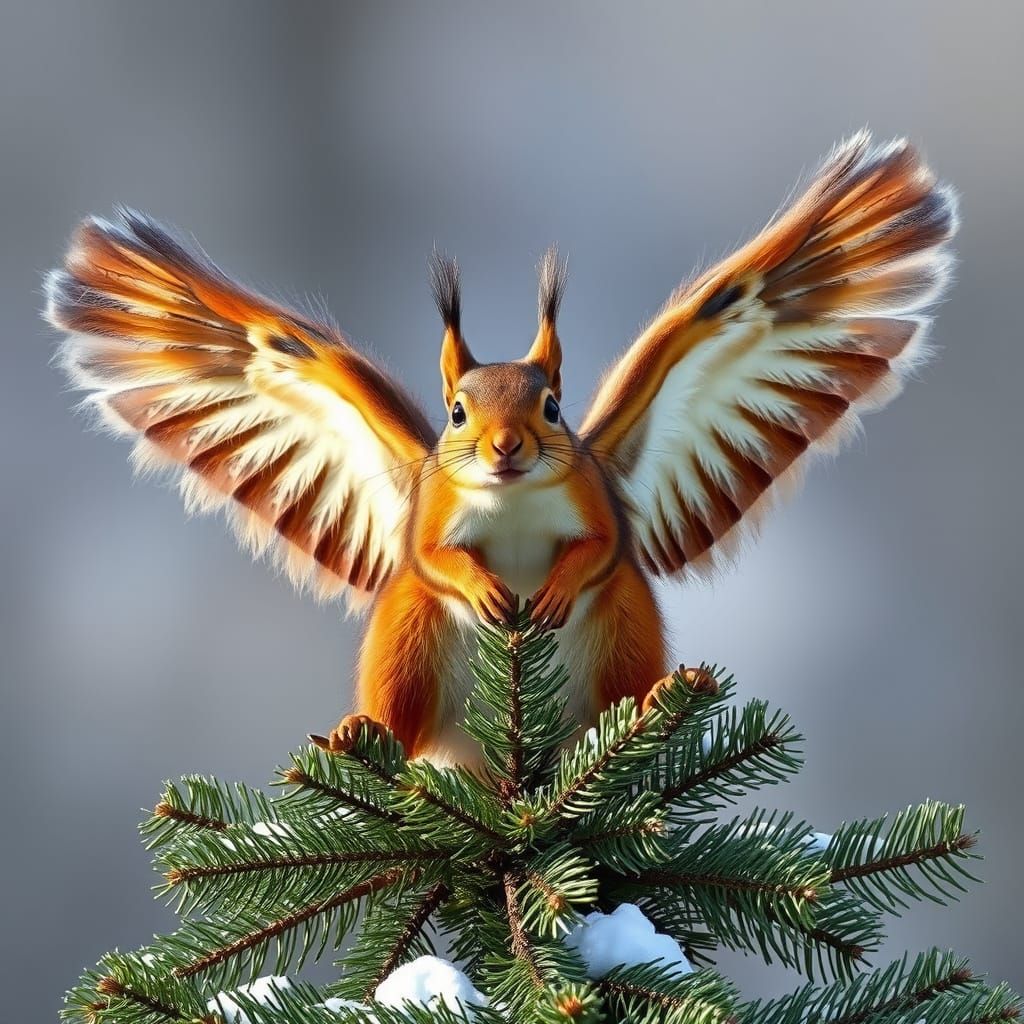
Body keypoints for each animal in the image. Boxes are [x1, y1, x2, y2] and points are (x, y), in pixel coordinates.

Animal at [44, 132, 957, 765]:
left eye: (551, 405)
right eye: (455, 413)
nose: (505, 447)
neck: (512, 499)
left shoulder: (599, 508)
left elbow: (597, 548)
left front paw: (546, 588)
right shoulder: (426, 522)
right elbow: (435, 555)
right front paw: (487, 586)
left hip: (624, 623)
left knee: (622, 682)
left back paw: (657, 698)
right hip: (409, 635)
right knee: (404, 720)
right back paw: (363, 734)